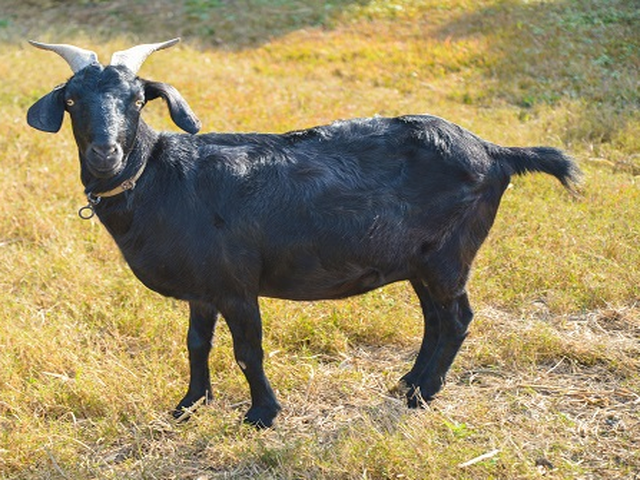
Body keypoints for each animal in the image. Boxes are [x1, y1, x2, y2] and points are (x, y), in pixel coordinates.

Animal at [27, 39, 580, 428]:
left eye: (139, 100)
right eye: (72, 101)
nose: (106, 153)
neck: (162, 177)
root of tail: (494, 152)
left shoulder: (235, 283)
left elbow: (247, 351)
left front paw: (260, 416)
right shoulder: (202, 288)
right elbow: (196, 343)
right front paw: (189, 405)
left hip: (449, 254)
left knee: (458, 318)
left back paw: (423, 395)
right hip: (418, 260)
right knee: (435, 320)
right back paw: (408, 384)